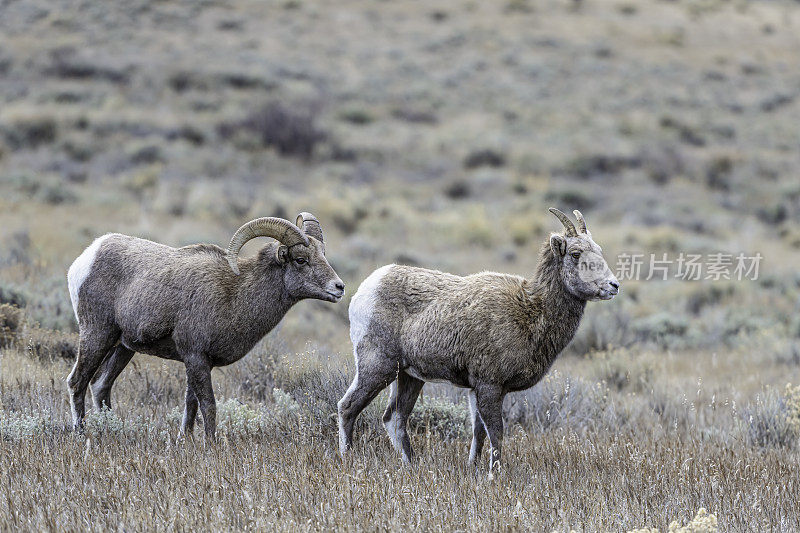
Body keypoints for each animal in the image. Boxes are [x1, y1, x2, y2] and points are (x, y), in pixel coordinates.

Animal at [67, 212, 342, 436]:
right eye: (300, 259)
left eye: (323, 255)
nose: (339, 287)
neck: (235, 294)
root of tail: (86, 258)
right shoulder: (196, 357)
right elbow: (208, 406)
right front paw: (211, 446)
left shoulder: (197, 362)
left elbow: (190, 404)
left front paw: (185, 441)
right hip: (97, 336)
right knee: (77, 382)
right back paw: (82, 434)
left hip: (123, 347)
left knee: (101, 385)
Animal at [338, 208, 620, 470]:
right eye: (576, 254)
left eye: (598, 250)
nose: (613, 285)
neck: (530, 312)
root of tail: (366, 289)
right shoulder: (489, 386)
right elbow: (495, 434)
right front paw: (494, 475)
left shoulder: (479, 390)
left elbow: (479, 433)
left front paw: (473, 469)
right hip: (378, 368)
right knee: (348, 407)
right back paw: (347, 458)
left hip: (409, 377)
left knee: (394, 419)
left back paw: (412, 465)